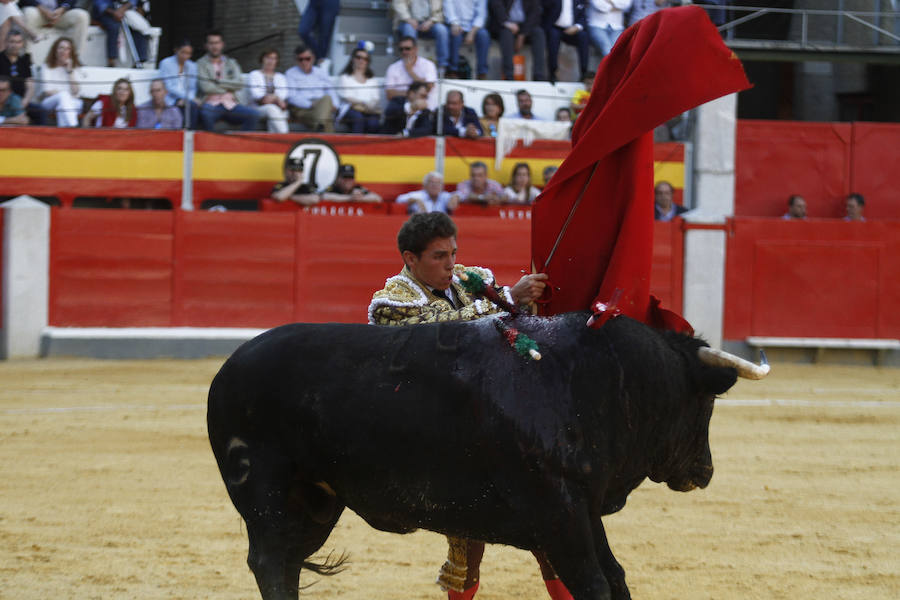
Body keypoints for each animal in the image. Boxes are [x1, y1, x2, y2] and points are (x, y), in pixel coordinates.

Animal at [209, 312, 740, 596]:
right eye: (707, 402)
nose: (706, 470)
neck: (597, 378)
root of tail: (229, 368)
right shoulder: (560, 514)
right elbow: (593, 583)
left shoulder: (582, 510)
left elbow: (614, 577)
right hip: (267, 492)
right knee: (271, 562)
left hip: (316, 503)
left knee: (287, 562)